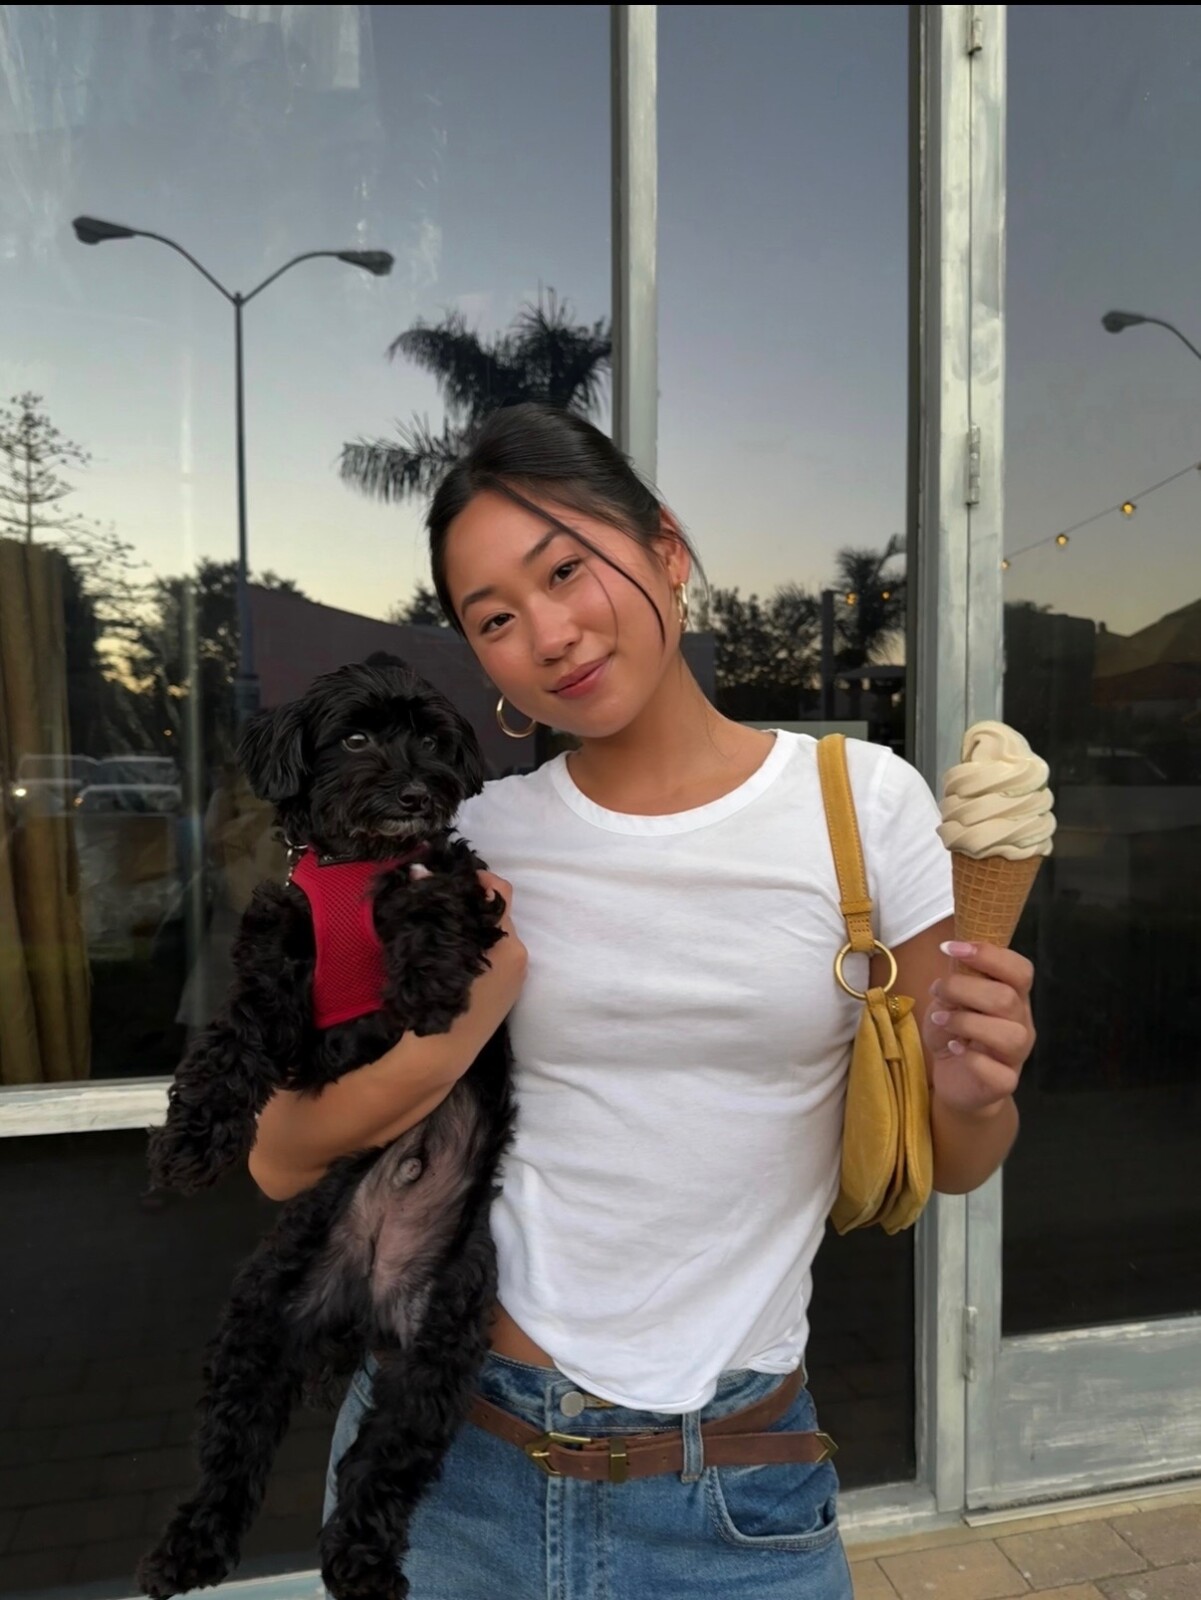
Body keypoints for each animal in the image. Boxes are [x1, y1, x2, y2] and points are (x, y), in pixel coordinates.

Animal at [137, 654, 515, 1600]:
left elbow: (434, 890)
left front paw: (427, 979)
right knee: (232, 1452)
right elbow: (234, 1039)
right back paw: (191, 1544)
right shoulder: (280, 971)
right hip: (262, 1315)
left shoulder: (456, 884)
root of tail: (367, 1304)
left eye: (431, 737)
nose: (416, 791)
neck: (356, 860)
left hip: (442, 1341)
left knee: (386, 1463)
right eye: (355, 736)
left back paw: (362, 1562)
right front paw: (190, 1142)